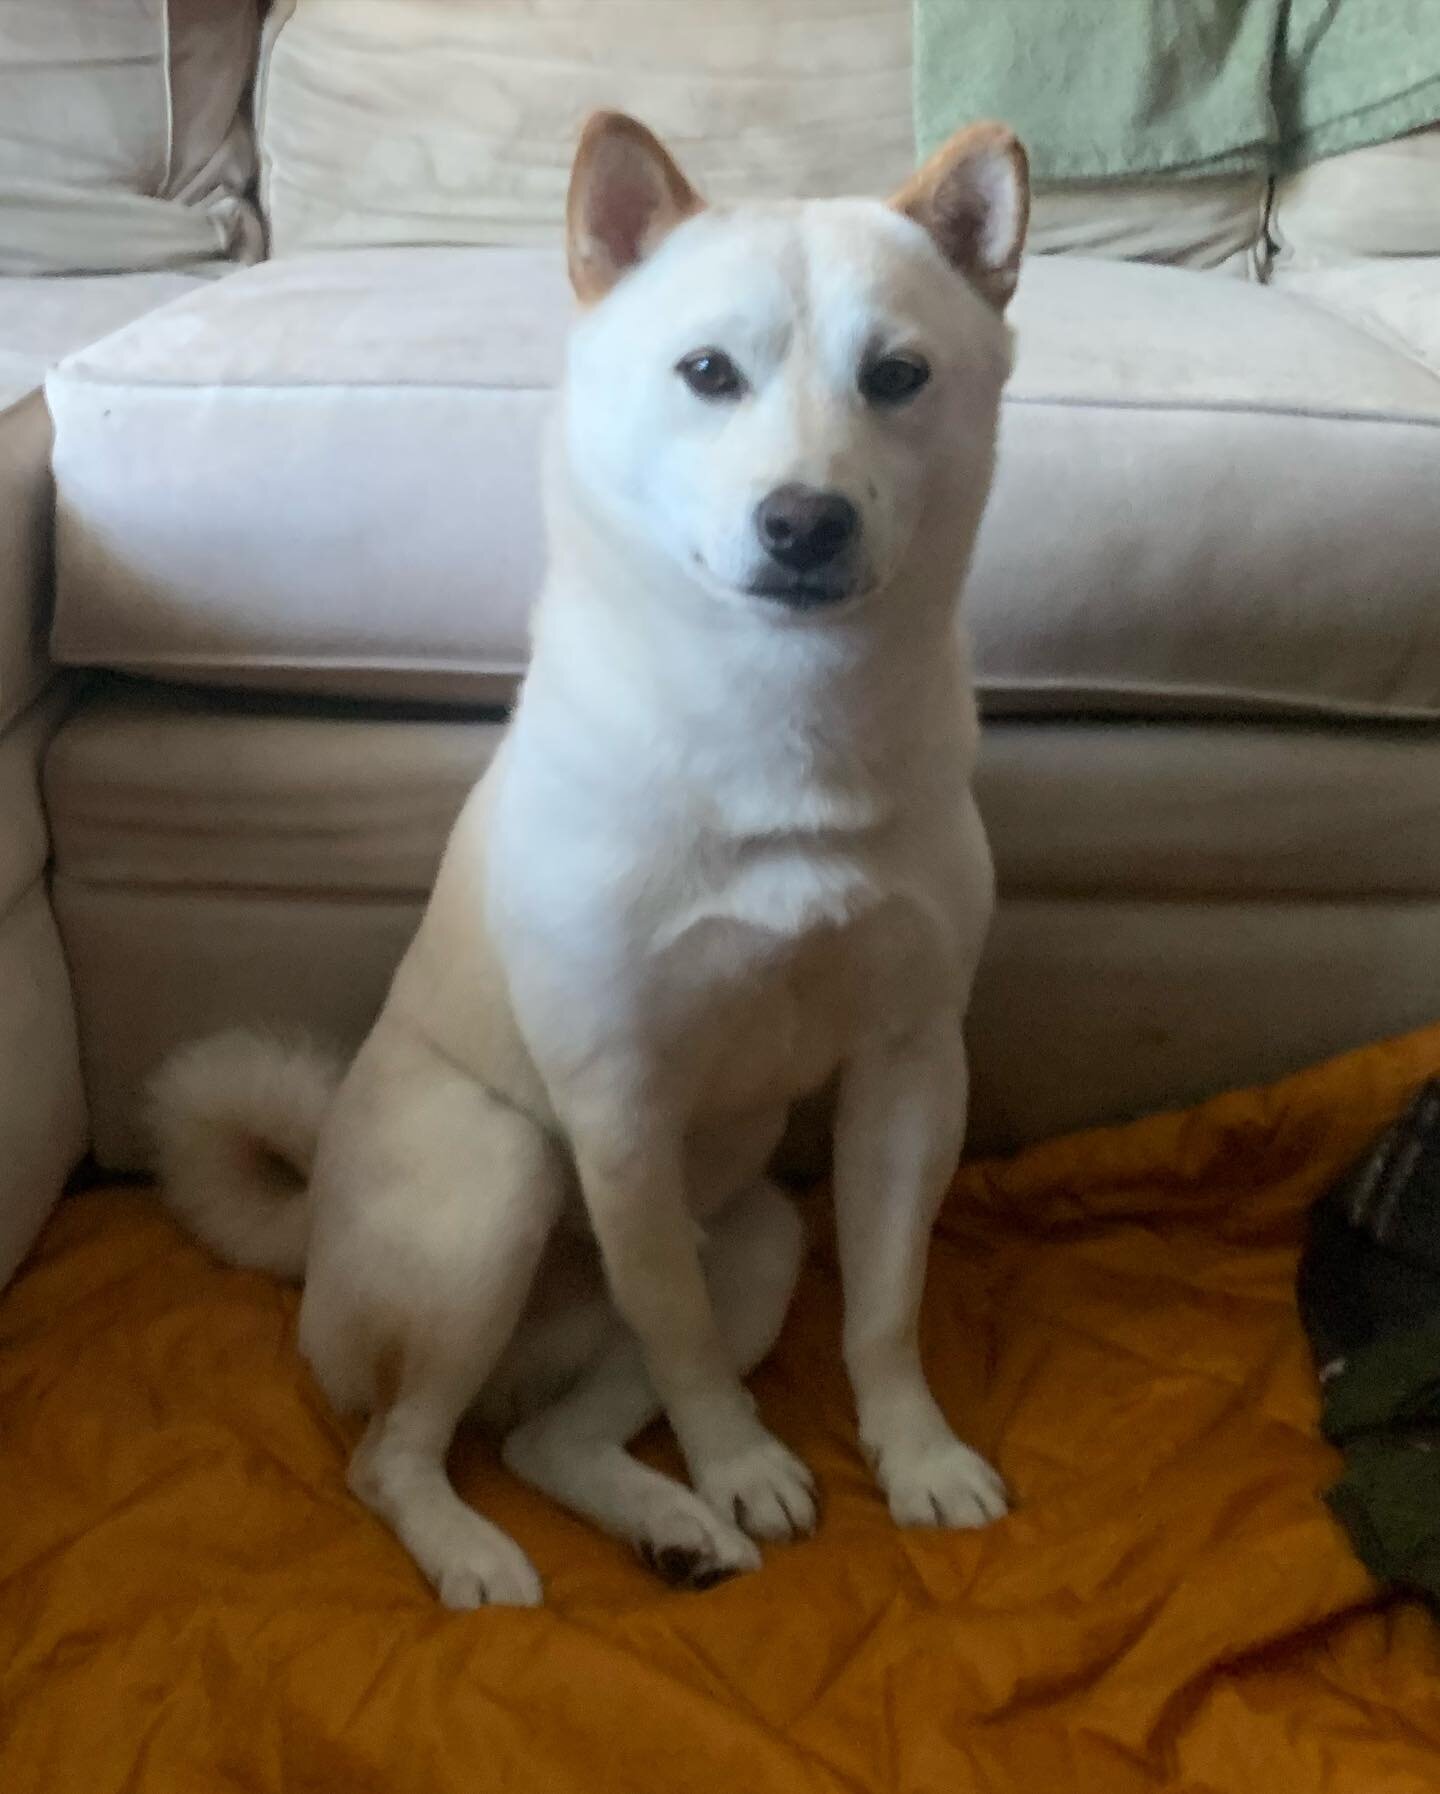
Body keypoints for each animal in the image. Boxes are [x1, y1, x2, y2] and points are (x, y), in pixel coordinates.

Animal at [152, 112, 1032, 1614]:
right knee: (396, 1451)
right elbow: (680, 1344)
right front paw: (740, 1462)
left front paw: (912, 1454)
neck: (782, 722)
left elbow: (886, 1304)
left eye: (898, 376)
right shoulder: (619, 1106)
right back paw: (483, 1545)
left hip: (758, 1242)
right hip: (498, 1188)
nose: (805, 521)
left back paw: (666, 1523)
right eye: (708, 372)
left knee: (547, 1435)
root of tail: (312, 1232)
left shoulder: (913, 1062)